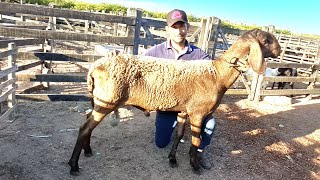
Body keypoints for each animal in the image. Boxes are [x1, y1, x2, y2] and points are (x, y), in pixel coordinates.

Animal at [67, 28, 280, 175]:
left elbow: (178, 135)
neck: (217, 74)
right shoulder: (198, 113)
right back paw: (74, 165)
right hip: (107, 101)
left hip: (99, 100)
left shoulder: (184, 111)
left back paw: (87, 150)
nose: (279, 50)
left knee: (87, 123)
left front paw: (172, 159)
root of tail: (95, 66)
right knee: (84, 128)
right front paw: (194, 166)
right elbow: (196, 140)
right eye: (266, 40)